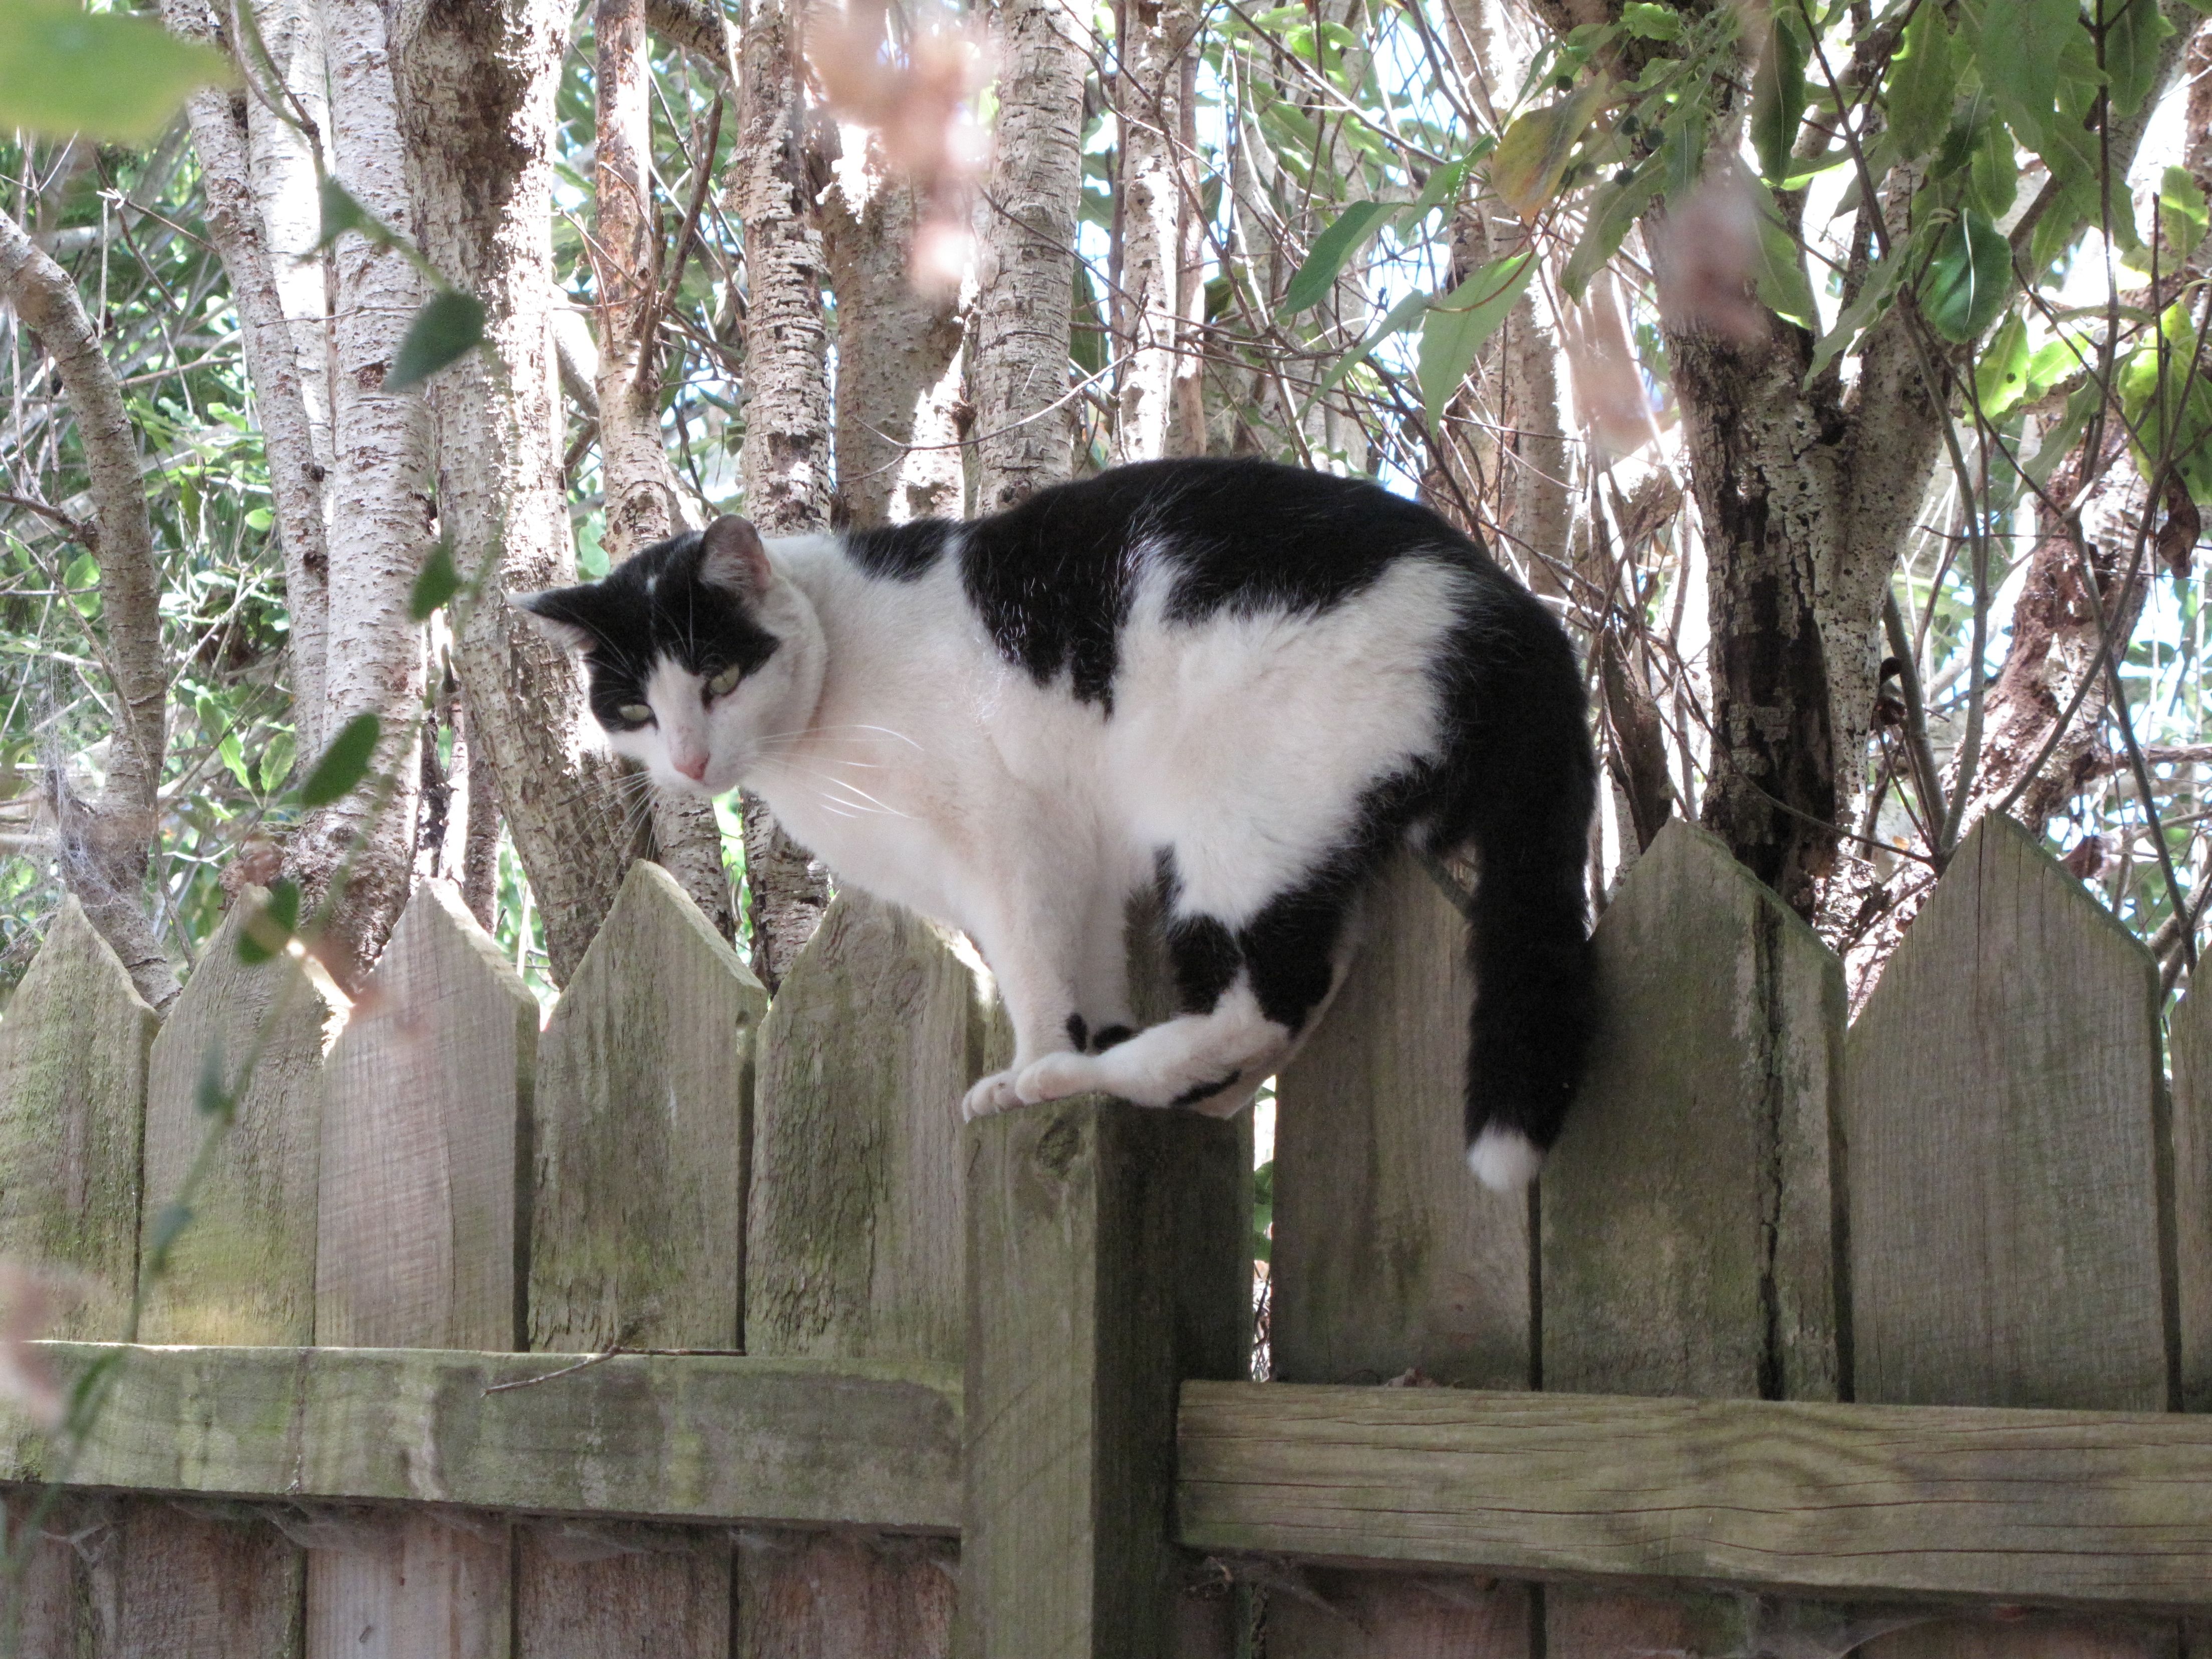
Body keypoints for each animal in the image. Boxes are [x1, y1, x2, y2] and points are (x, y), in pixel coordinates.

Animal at [520, 457, 1595, 1189]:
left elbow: (1034, 966)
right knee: (1310, 980)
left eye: (719, 676)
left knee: (1269, 993)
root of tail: (1514, 606)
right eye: (634, 709)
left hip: (1232, 822)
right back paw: (1167, 1084)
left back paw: (1101, 1074)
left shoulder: (1011, 840)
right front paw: (1086, 1040)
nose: (691, 762)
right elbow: (1085, 961)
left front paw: (1039, 1063)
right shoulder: (1080, 858)